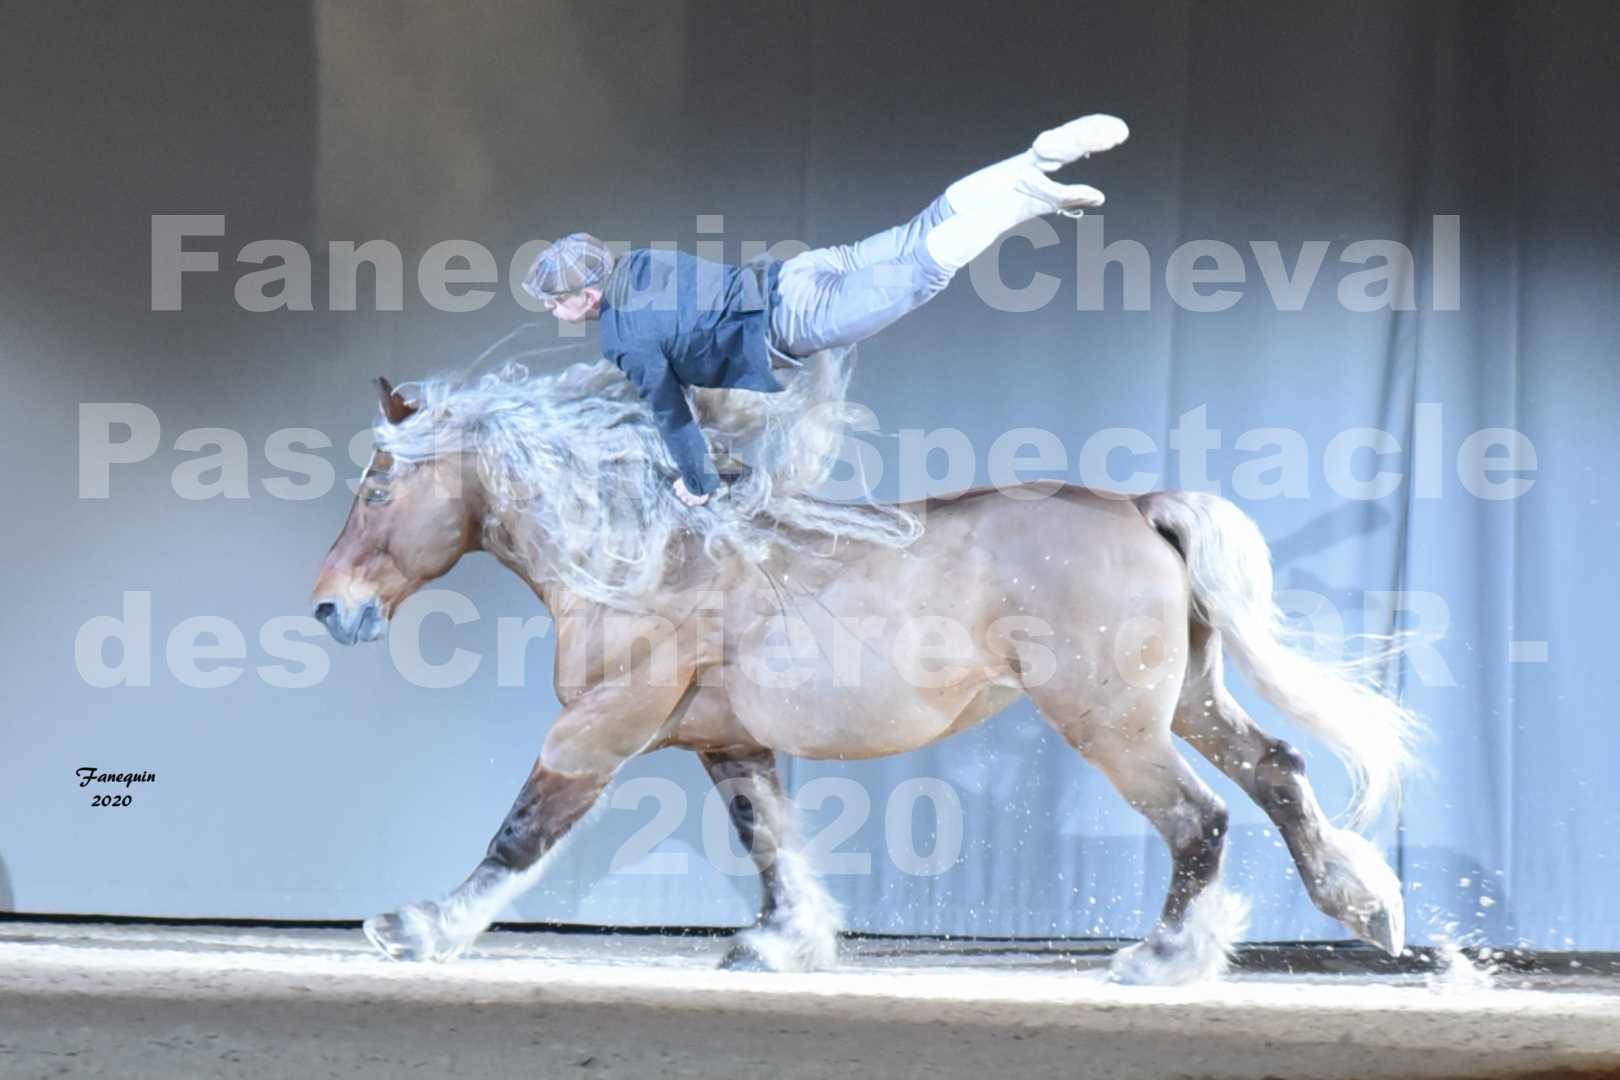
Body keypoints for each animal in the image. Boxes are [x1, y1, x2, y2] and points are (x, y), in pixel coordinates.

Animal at [306, 365, 1419, 990]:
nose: (330, 608)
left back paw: (1164, 960)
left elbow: (521, 832)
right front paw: (780, 944)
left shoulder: (602, 725)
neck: (642, 554)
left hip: (1115, 728)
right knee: (1278, 772)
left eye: (377, 486)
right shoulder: (726, 740)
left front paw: (417, 928)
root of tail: (1141, 505)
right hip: (1187, 702)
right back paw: (1370, 913)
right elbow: (769, 840)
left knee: (1202, 820)